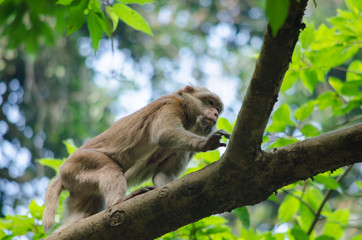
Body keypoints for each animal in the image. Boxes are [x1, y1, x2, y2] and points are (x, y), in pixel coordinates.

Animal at [42, 86, 229, 232]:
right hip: (79, 163)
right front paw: (206, 143)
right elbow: (164, 134)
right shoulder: (170, 105)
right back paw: (118, 202)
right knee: (109, 168)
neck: (188, 119)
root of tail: (61, 171)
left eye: (218, 109)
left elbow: (162, 175)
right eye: (210, 103)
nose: (215, 114)